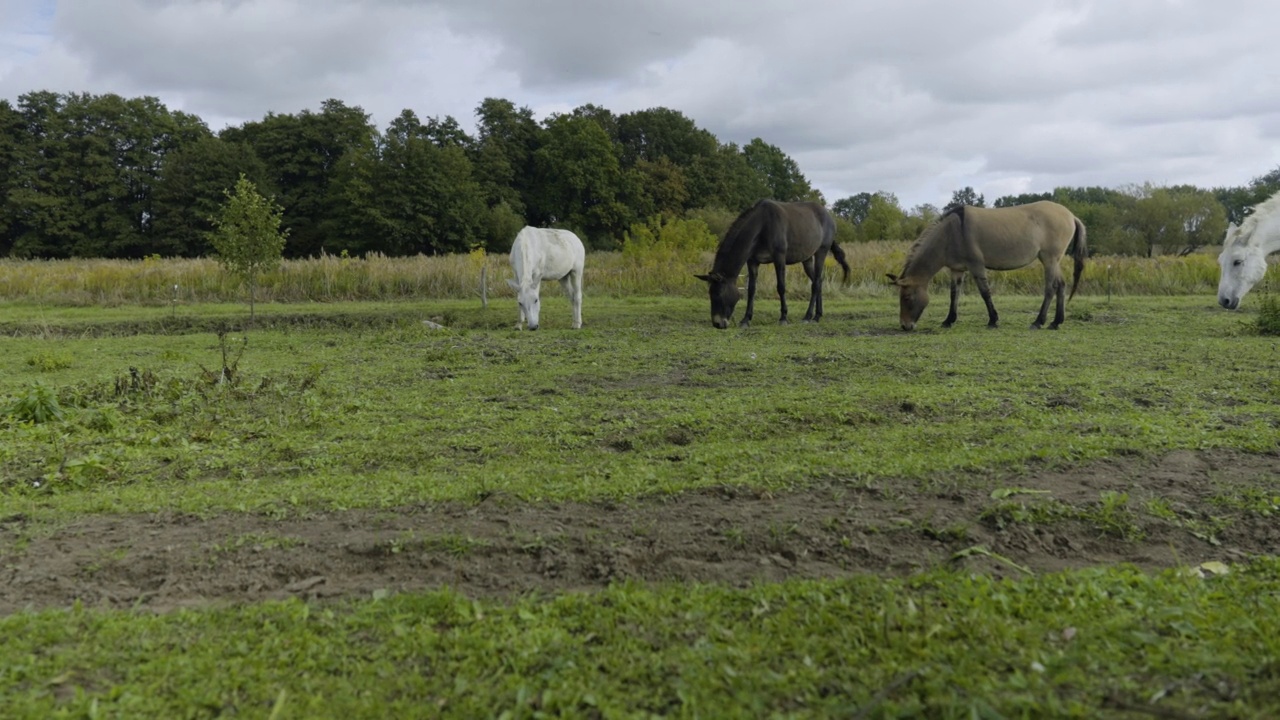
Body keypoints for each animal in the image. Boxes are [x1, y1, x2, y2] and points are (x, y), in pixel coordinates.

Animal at [691, 198, 849, 327]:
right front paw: (746, 319)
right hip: (807, 258)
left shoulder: (779, 258)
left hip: (821, 251)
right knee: (819, 281)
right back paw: (818, 315)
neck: (762, 225)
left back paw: (809, 316)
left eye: (718, 294)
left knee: (816, 283)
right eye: (710, 294)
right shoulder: (752, 261)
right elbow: (751, 289)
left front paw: (783, 318)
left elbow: (781, 287)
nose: (717, 323)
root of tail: (829, 217)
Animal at [890, 197, 1090, 330]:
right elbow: (954, 294)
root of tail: (1071, 215)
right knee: (1061, 286)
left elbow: (985, 293)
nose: (905, 326)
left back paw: (1038, 322)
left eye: (906, 297)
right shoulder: (957, 269)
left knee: (1051, 288)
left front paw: (993, 320)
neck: (952, 232)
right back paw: (1056, 322)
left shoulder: (976, 266)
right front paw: (949, 320)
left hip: (1049, 260)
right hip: (1054, 261)